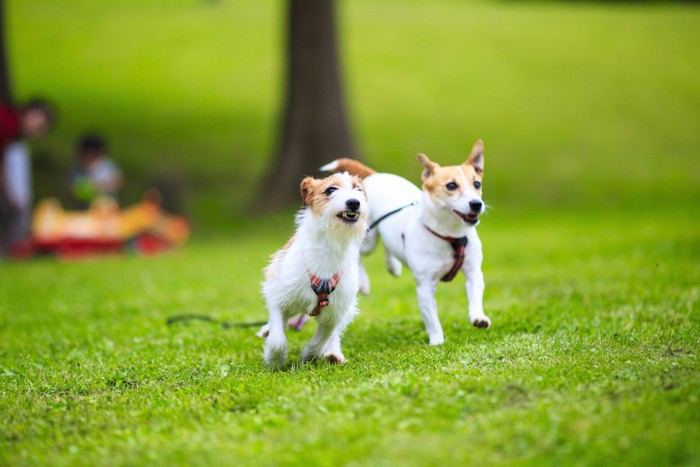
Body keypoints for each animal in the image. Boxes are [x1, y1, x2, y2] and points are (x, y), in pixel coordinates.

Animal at [258, 172, 370, 370]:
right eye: (331, 190)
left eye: (358, 189)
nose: (354, 202)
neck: (329, 248)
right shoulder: (279, 296)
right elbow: (278, 337)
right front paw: (274, 360)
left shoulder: (337, 311)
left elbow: (322, 338)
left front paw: (308, 356)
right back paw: (267, 330)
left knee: (333, 335)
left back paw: (333, 354)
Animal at [322, 141, 490, 346]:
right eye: (451, 186)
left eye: (477, 184)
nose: (476, 204)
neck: (450, 235)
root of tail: (375, 176)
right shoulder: (425, 287)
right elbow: (432, 319)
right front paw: (437, 342)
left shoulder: (474, 271)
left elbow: (475, 294)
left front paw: (478, 317)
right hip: (368, 238)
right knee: (359, 253)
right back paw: (364, 282)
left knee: (389, 245)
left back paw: (393, 266)